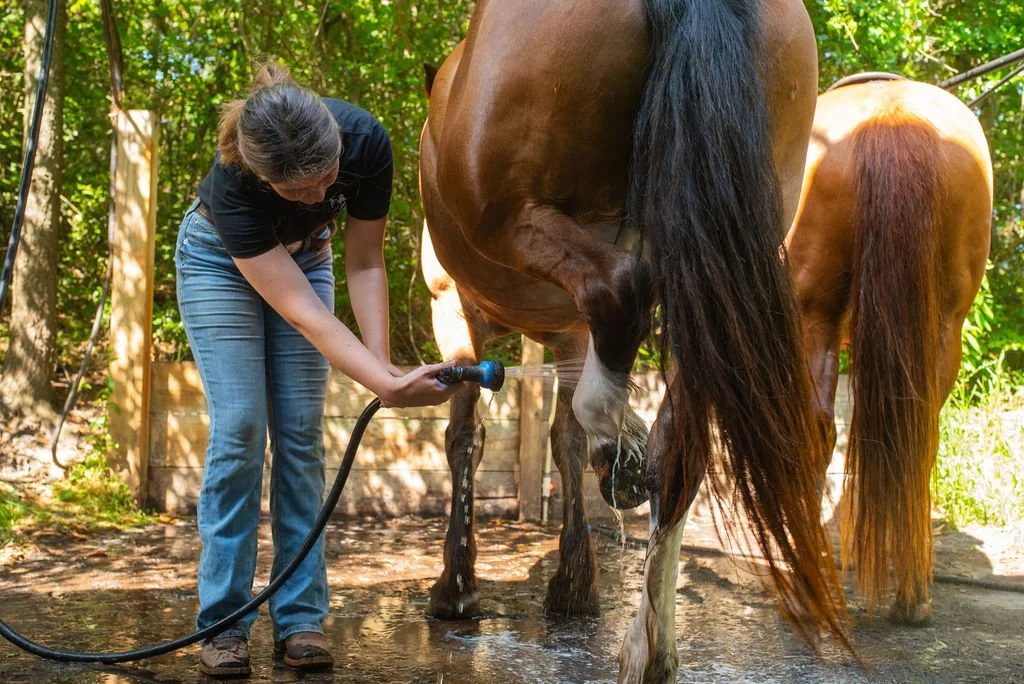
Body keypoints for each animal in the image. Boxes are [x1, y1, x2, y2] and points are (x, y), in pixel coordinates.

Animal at [419, 0, 849, 679]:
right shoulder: (567, 334)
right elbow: (559, 441)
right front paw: (573, 582)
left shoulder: (453, 309)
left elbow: (467, 438)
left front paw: (457, 588)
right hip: (715, 258)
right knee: (680, 449)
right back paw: (649, 649)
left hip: (515, 218)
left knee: (618, 295)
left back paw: (618, 444)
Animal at [787, 75, 993, 625]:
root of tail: (893, 114)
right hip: (942, 326)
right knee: (918, 435)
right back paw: (912, 594)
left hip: (814, 311)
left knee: (816, 427)